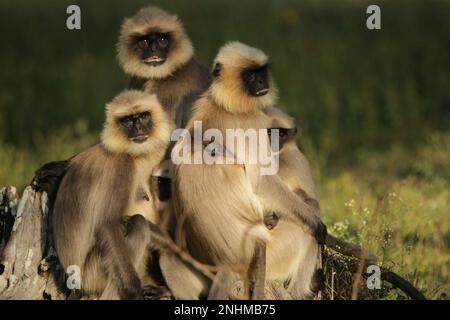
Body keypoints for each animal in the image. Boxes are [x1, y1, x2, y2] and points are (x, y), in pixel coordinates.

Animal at [52, 89, 172, 298]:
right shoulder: (121, 166)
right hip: (94, 274)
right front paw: (134, 291)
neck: (131, 154)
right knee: (137, 223)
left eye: (143, 116)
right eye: (128, 120)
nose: (138, 127)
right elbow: (108, 223)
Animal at [169, 42, 326, 300]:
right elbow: (262, 181)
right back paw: (302, 290)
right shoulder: (251, 123)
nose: (262, 82)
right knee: (307, 218)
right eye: (250, 75)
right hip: (276, 250)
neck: (226, 105)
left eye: (261, 72)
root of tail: (228, 263)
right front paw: (317, 225)